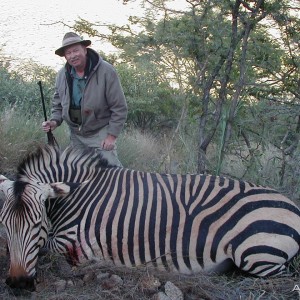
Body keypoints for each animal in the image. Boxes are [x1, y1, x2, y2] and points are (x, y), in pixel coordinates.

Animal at [0, 145, 300, 290]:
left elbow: (49, 249)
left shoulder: (78, 243)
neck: (78, 193)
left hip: (256, 255)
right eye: (4, 226)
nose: (17, 284)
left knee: (282, 279)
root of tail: (293, 206)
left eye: (37, 225)